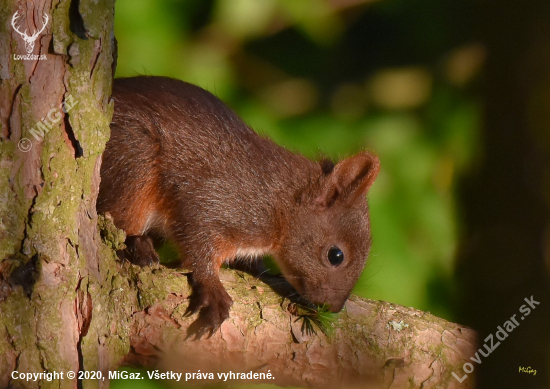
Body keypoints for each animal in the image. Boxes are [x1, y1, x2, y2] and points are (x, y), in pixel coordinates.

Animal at [97, 76, 382, 336]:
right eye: (336, 255)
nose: (333, 307)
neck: (282, 202)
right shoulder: (215, 200)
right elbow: (196, 238)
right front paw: (212, 287)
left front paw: (263, 272)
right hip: (134, 157)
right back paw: (137, 244)